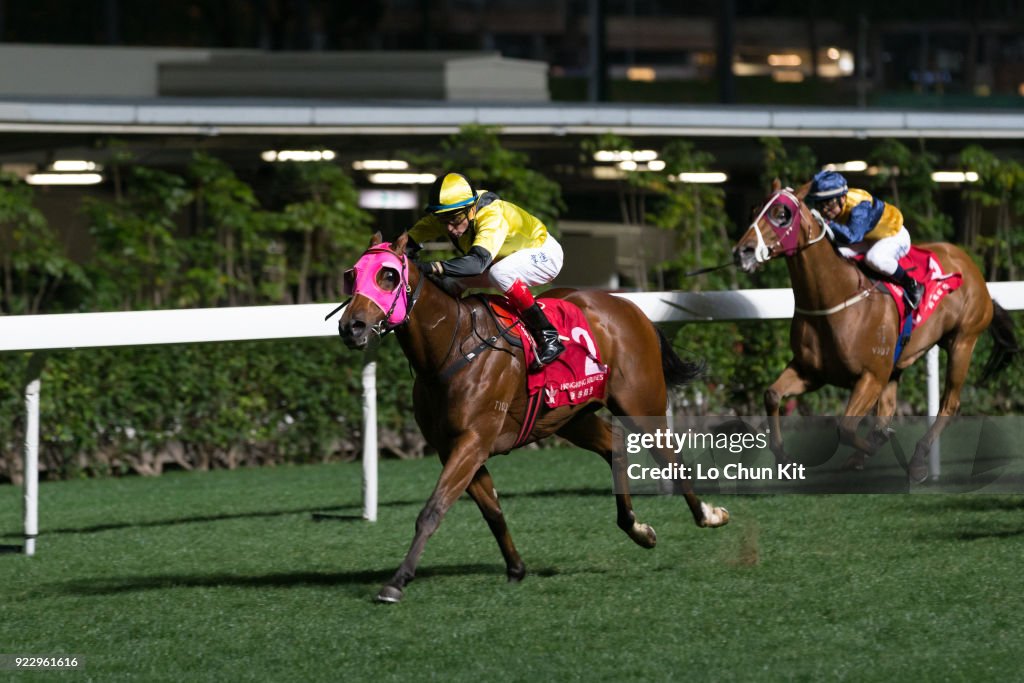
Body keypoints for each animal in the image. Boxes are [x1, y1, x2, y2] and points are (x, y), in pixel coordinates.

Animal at [335, 233, 729, 602]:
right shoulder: (453, 448)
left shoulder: (472, 442)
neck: (451, 347)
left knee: (671, 458)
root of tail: (629, 306)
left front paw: (396, 582)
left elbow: (433, 510)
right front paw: (516, 568)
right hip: (571, 417)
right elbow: (492, 510)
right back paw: (637, 529)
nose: (351, 327)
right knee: (614, 446)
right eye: (351, 275)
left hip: (640, 404)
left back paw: (708, 515)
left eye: (388, 275)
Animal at [737, 179, 1015, 483]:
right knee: (889, 409)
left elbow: (845, 428)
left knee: (950, 405)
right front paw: (784, 457)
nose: (743, 251)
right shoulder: (811, 371)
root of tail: (969, 263)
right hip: (897, 363)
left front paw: (875, 445)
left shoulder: (870, 376)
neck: (835, 297)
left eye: (781, 214)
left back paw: (916, 460)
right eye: (754, 210)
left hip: (962, 342)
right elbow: (772, 395)